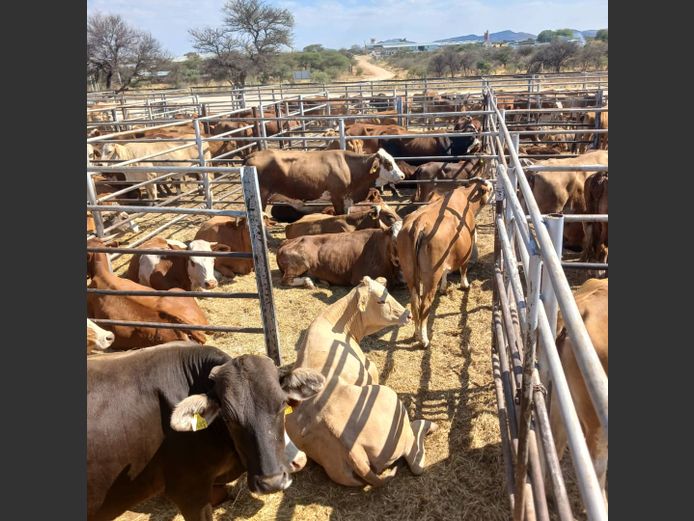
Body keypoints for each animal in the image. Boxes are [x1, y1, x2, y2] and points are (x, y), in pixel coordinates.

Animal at [245, 148, 405, 215]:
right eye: (388, 163)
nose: (403, 176)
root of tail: (252, 154)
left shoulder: (347, 199)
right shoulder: (336, 197)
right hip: (261, 196)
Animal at [286, 276, 438, 487]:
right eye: (380, 301)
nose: (407, 315)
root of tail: (352, 447)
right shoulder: (371, 369)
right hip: (390, 399)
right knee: (415, 459)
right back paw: (427, 425)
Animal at [397, 181, 493, 347]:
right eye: (490, 188)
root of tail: (418, 223)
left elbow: (446, 271)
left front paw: (443, 287)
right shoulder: (467, 249)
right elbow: (463, 268)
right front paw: (465, 285)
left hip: (410, 273)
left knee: (415, 303)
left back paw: (416, 334)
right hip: (430, 276)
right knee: (425, 304)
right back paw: (424, 339)